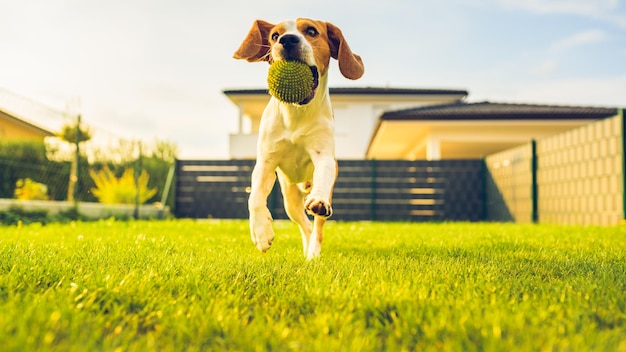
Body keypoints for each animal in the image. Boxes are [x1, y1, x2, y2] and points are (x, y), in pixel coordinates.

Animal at [233, 18, 360, 258]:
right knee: (305, 225)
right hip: (290, 201)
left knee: (317, 226)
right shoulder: (266, 162)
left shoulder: (323, 156)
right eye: (274, 36)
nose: (288, 40)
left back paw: (313, 253)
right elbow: (255, 197)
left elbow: (323, 174)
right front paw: (261, 232)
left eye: (311, 31)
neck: (296, 113)